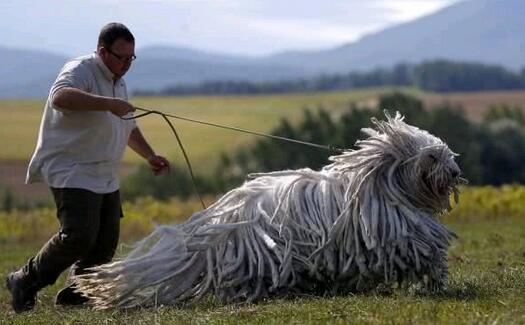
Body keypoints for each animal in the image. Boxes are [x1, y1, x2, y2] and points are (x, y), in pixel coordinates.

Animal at [74, 112, 462, 308]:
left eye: (445, 153)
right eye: (432, 156)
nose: (456, 172)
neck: (382, 182)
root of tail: (218, 220)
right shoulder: (397, 233)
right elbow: (425, 251)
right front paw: (435, 280)